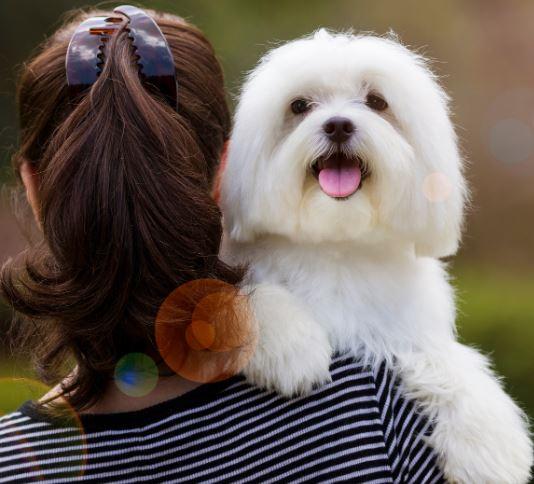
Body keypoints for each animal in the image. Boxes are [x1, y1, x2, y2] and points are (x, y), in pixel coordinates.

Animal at [220, 30, 532, 484]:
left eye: (377, 102)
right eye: (299, 105)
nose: (337, 124)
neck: (337, 244)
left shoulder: (401, 328)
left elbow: (448, 360)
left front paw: (489, 446)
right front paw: (291, 348)